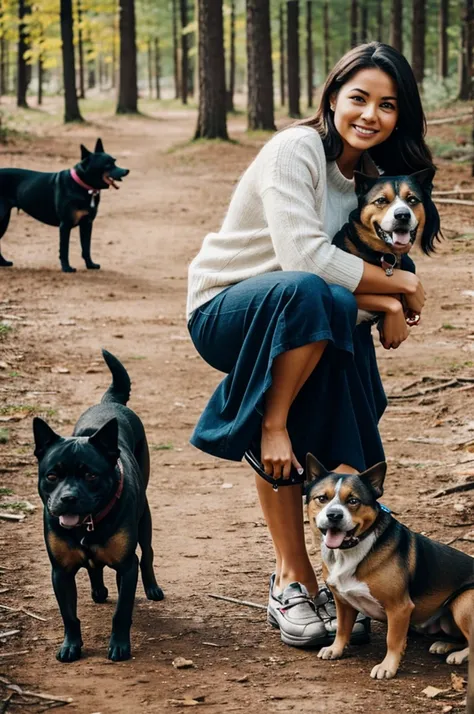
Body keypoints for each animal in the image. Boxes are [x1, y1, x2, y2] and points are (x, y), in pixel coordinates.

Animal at [0, 138, 129, 272]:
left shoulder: (87, 224)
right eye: (108, 164)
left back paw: (3, 263)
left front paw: (90, 265)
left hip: (4, 220)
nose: (126, 171)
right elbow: (64, 249)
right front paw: (67, 268)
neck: (84, 186)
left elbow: (86, 247)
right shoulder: (65, 225)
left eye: (114, 161)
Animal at [32, 350, 163, 660]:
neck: (87, 525)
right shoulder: (60, 571)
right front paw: (71, 646)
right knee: (94, 567)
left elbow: (121, 612)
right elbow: (69, 615)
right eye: (52, 476)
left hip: (145, 520)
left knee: (148, 554)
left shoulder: (127, 566)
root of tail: (110, 403)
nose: (68, 497)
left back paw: (151, 587)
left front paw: (119, 645)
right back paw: (99, 590)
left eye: (91, 475)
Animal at [304, 454, 474, 708]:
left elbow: (392, 640)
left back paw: (458, 655)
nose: (334, 515)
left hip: (463, 600)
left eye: (353, 501)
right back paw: (444, 644)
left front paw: (388, 667)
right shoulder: (342, 601)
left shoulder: (399, 607)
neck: (350, 550)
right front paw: (336, 649)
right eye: (321, 499)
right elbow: (342, 629)